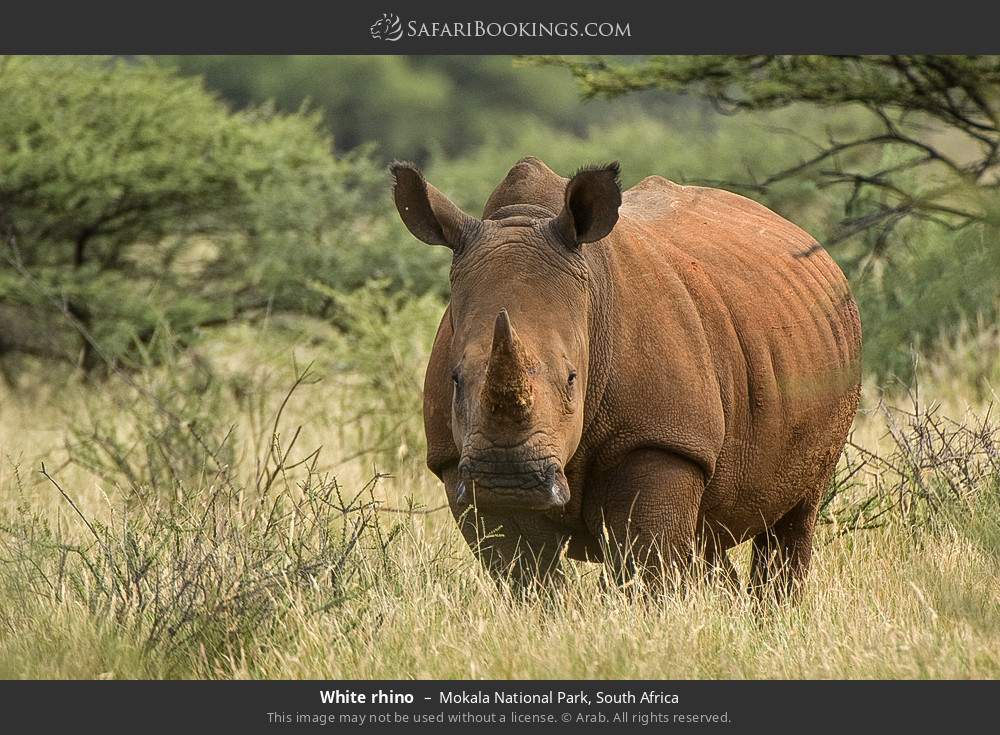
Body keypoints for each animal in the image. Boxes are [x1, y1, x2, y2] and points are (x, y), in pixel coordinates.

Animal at [391, 156, 862, 595]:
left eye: (572, 378)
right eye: (455, 379)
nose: (509, 478)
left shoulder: (661, 439)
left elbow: (646, 563)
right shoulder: (459, 466)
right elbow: (526, 574)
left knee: (796, 515)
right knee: (706, 538)